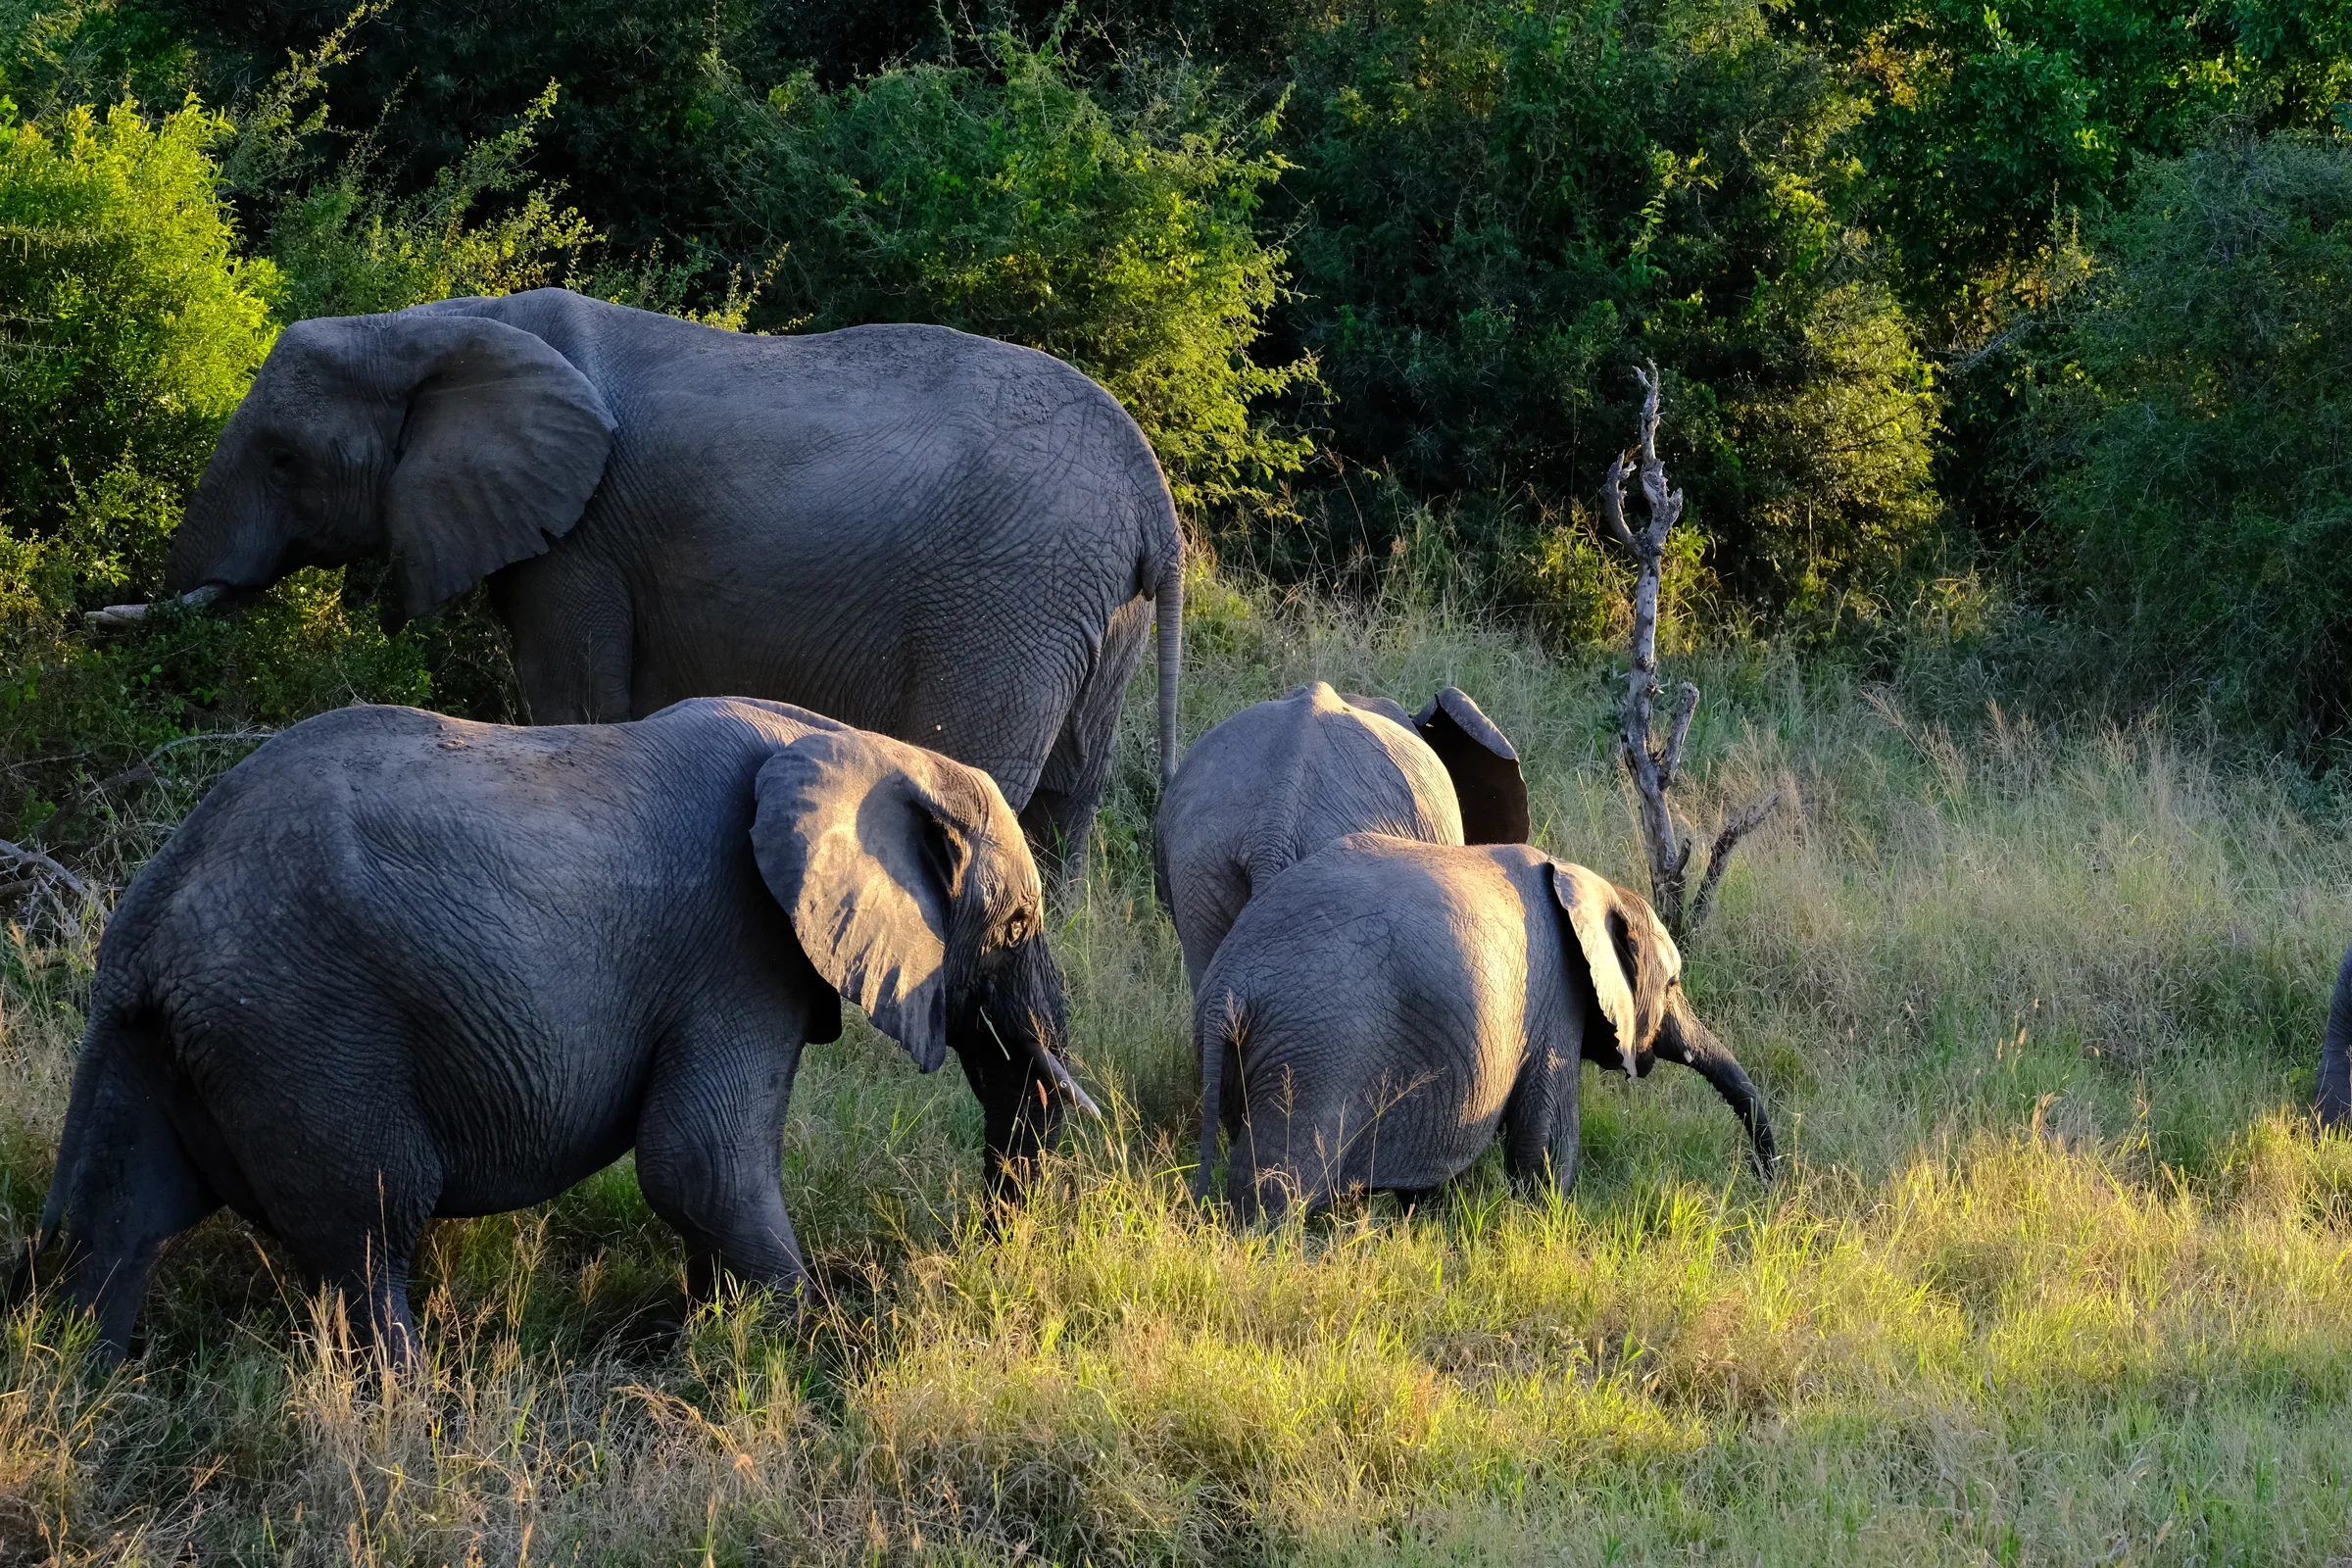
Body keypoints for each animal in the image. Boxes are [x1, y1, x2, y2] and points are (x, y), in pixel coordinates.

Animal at [8, 697, 1095, 1366]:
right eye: (1014, 927)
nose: (973, 1263)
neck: (857, 743)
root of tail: (148, 920)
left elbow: (699, 1175)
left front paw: (716, 1344)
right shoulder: (735, 947)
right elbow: (698, 1162)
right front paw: (812, 1346)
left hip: (162, 1040)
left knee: (119, 1224)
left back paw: (85, 1395)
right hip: (304, 1029)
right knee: (369, 1229)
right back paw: (412, 1420)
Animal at [111, 287, 1183, 867]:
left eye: (285, 459)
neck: (438, 324)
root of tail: (1152, 497)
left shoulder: (583, 542)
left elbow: (574, 700)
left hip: (1011, 591)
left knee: (982, 779)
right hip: (1089, 604)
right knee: (1070, 801)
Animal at [1192, 834, 1775, 1218]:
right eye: (1673, 984)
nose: (1768, 1185)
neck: (1588, 882)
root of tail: (1229, 987)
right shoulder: (1555, 1001)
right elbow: (1545, 1138)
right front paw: (1548, 1221)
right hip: (1314, 1056)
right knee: (1279, 1186)